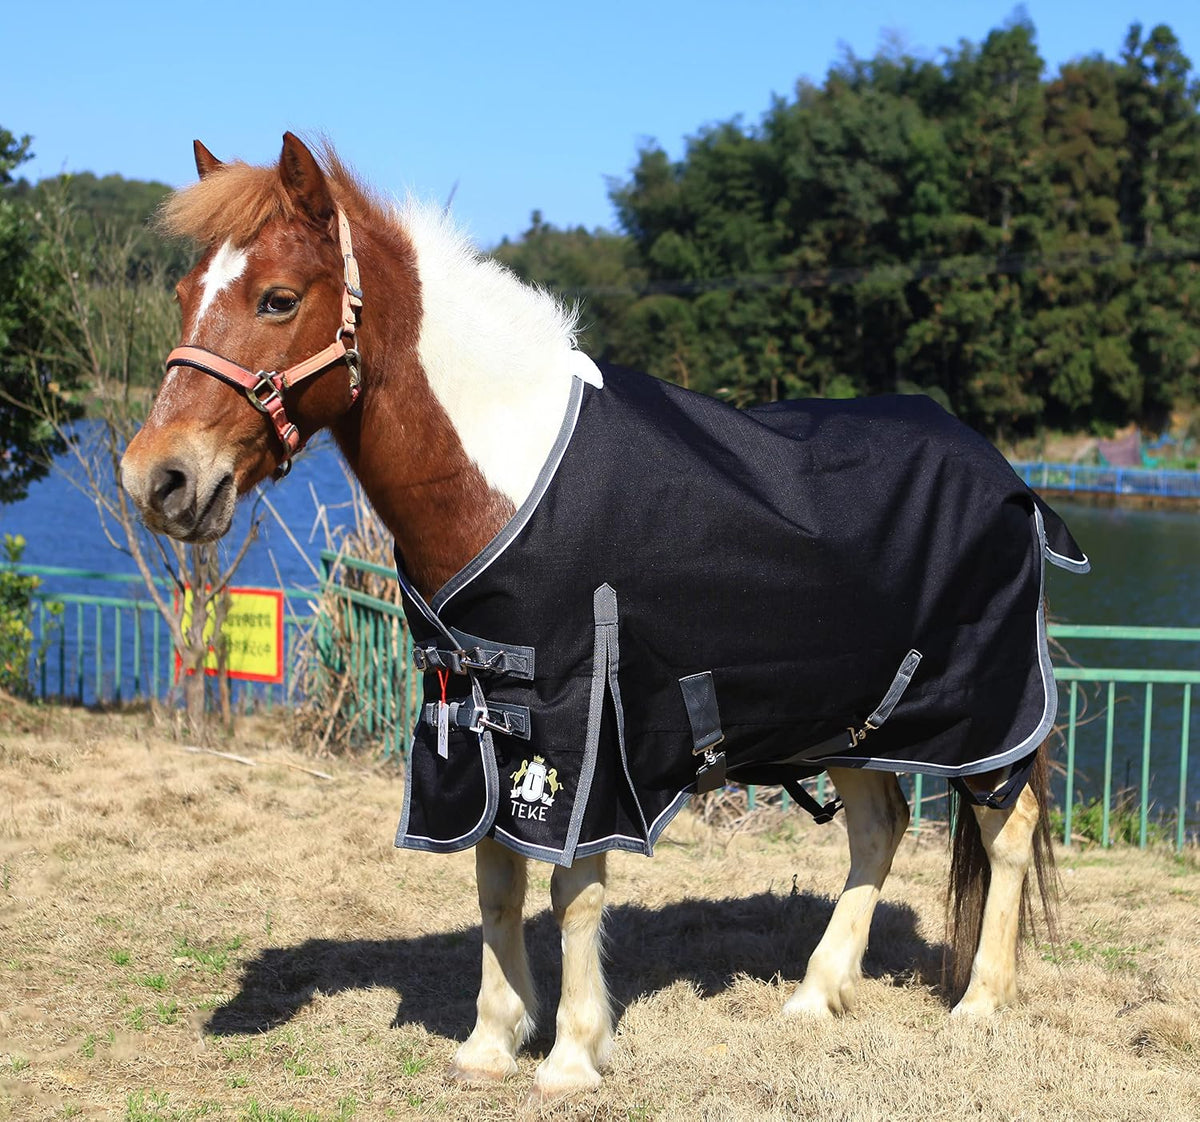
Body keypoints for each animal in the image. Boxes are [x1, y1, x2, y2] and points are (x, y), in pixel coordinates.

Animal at [121, 133, 1079, 1098]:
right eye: (185, 292)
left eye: (278, 299)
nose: (157, 479)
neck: (502, 476)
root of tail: (1009, 476)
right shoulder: (480, 714)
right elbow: (495, 881)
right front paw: (492, 1040)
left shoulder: (582, 724)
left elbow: (572, 892)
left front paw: (573, 1054)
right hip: (850, 716)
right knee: (879, 830)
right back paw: (817, 996)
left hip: (983, 713)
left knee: (1006, 832)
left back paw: (980, 1005)